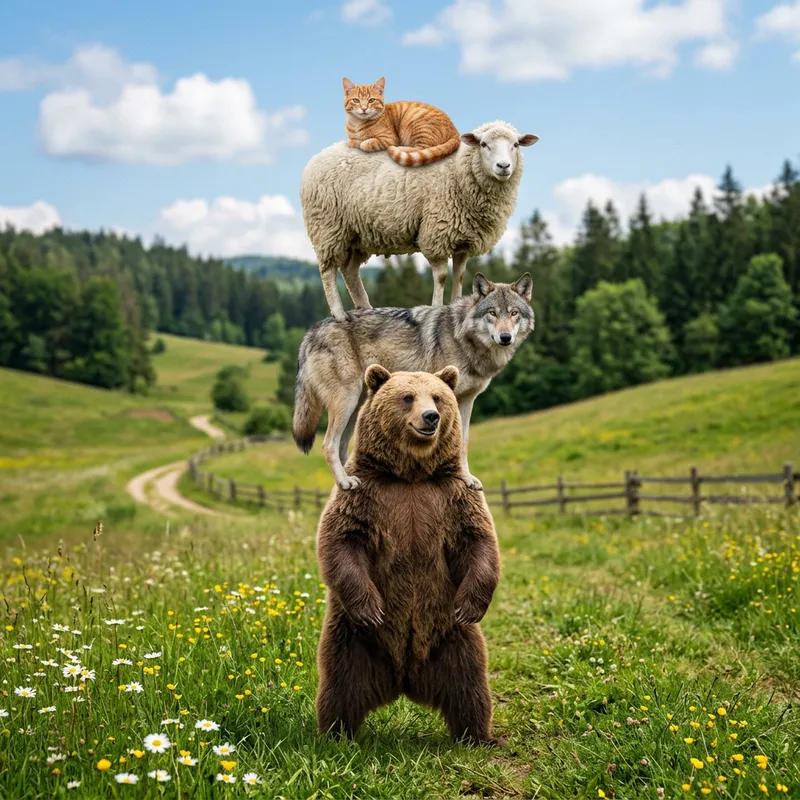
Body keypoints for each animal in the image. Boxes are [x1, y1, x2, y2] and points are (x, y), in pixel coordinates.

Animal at [299, 120, 539, 321]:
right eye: (483, 144)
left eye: (516, 145)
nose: (503, 166)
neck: (458, 172)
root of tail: (315, 159)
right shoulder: (437, 233)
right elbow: (441, 277)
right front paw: (437, 307)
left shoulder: (463, 240)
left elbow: (460, 276)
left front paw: (456, 304)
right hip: (328, 227)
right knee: (328, 271)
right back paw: (339, 314)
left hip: (357, 234)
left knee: (349, 271)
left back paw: (365, 308)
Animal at [314, 364, 502, 745]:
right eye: (407, 396)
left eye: (438, 397)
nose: (430, 417)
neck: (411, 476)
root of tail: (404, 680)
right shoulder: (365, 495)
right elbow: (341, 541)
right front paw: (372, 608)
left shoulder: (452, 496)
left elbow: (478, 540)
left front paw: (471, 605)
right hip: (351, 639)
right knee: (340, 685)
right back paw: (335, 734)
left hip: (453, 638)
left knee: (470, 683)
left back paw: (477, 736)